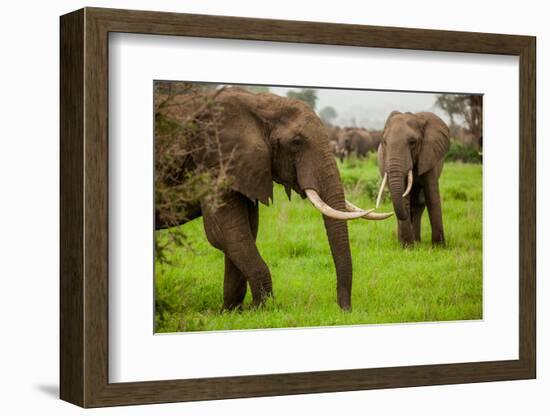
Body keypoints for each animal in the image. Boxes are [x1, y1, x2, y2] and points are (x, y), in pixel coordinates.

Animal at [157, 87, 394, 308]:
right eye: (297, 142)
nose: (344, 309)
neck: (259, 105)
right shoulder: (213, 161)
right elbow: (225, 234)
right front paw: (260, 309)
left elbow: (245, 232)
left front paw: (233, 311)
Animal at [378, 111, 450, 247]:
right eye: (384, 142)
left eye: (412, 142)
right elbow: (405, 198)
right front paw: (407, 247)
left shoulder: (429, 155)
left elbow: (432, 195)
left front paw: (439, 247)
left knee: (419, 204)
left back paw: (417, 241)